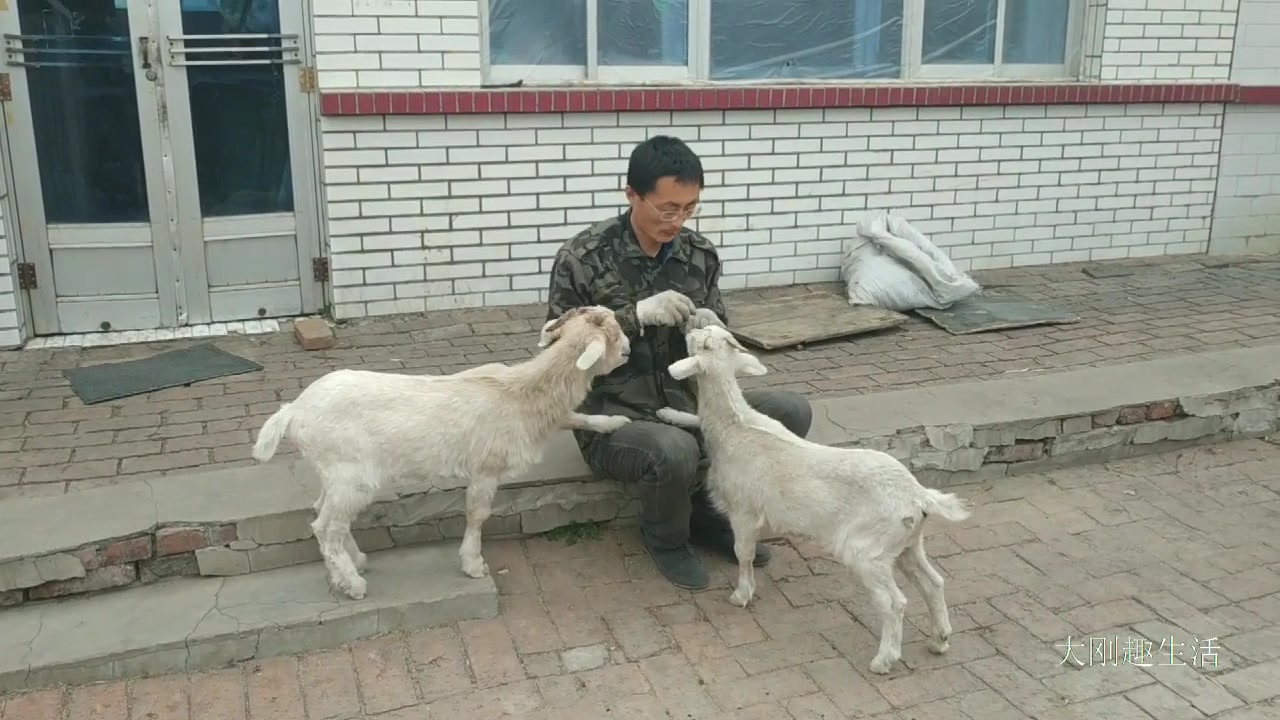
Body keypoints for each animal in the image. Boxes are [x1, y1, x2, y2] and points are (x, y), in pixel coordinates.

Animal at [249, 304, 629, 597]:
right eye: (612, 334)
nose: (627, 349)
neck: (521, 393)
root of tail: (293, 412)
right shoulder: (485, 469)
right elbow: (477, 515)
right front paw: (473, 564)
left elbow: (575, 417)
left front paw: (615, 423)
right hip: (351, 473)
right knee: (327, 527)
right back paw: (352, 583)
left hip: (335, 472)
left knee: (324, 514)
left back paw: (355, 562)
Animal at [660, 325, 967, 671]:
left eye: (704, 343)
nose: (691, 327)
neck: (735, 428)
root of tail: (919, 496)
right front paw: (667, 412)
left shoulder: (744, 512)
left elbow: (743, 553)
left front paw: (741, 594)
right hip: (906, 544)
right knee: (933, 582)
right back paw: (939, 639)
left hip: (868, 549)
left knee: (894, 602)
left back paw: (884, 659)